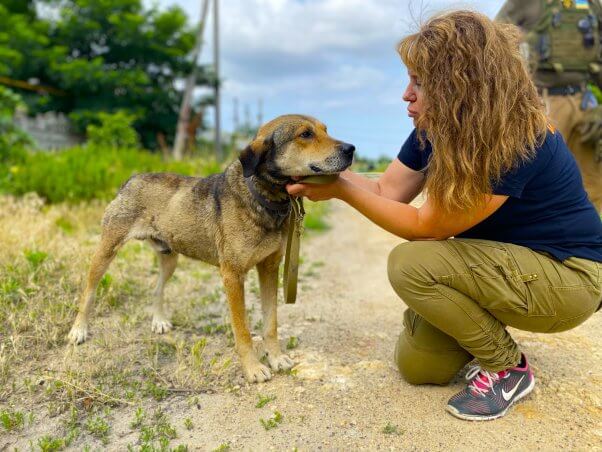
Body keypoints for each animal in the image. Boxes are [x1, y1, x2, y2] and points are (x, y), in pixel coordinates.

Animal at [68, 115, 354, 384]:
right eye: (305, 134)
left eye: (325, 130)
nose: (351, 149)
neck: (263, 195)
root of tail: (132, 178)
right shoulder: (232, 276)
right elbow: (243, 331)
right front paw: (253, 369)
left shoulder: (270, 267)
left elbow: (271, 322)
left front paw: (275, 357)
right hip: (106, 250)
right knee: (88, 291)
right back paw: (78, 330)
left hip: (169, 258)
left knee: (157, 288)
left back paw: (158, 321)